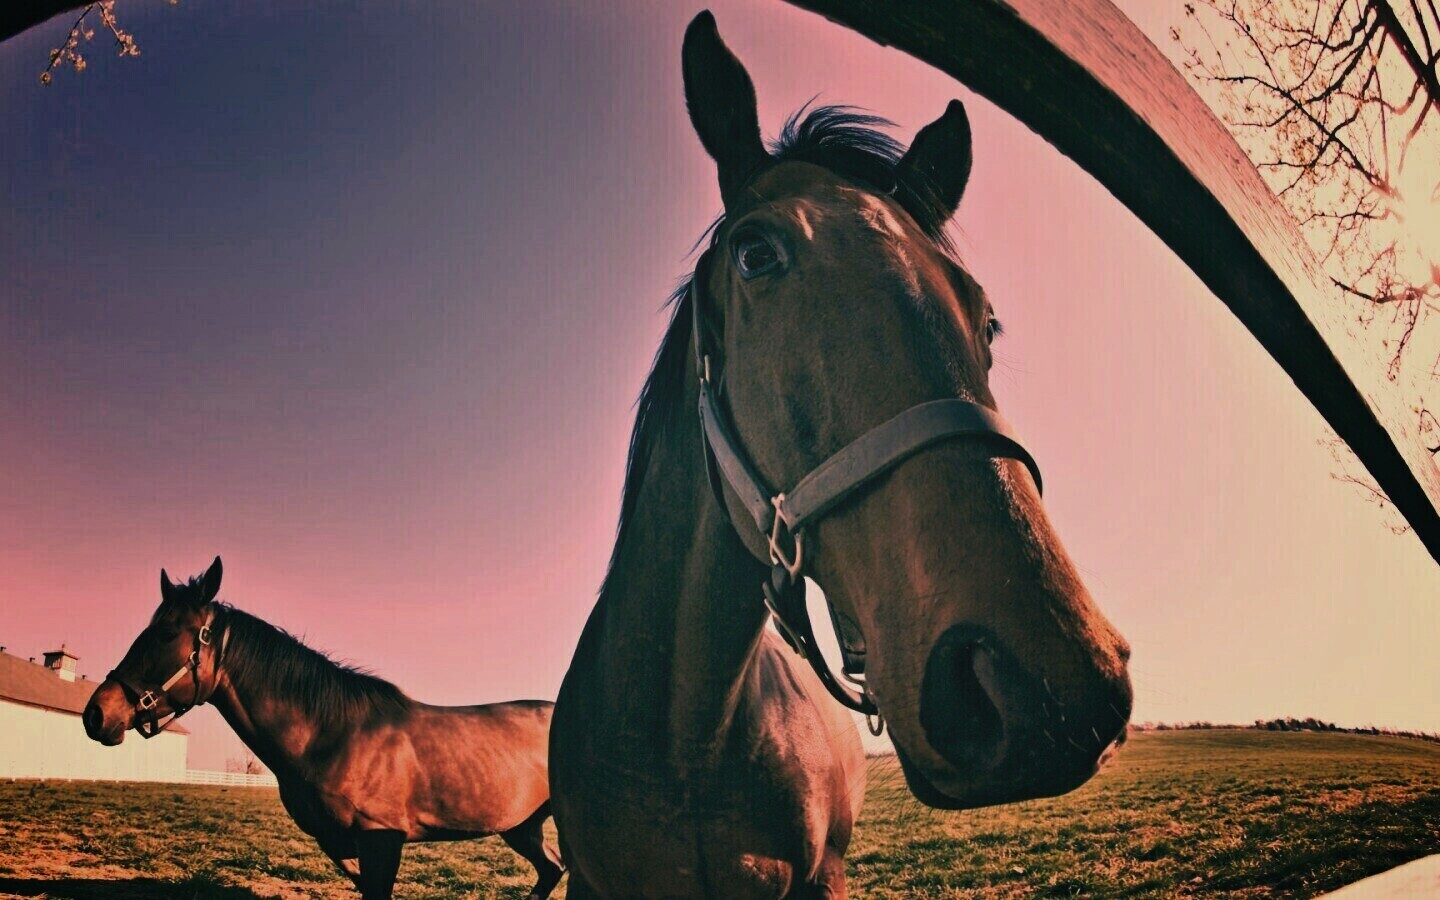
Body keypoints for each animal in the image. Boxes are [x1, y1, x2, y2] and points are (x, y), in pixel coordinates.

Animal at [83, 557, 565, 900]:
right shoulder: (341, 843)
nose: (97, 714)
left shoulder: (382, 841)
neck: (333, 735)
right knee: (552, 869)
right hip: (521, 826)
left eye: (166, 633)